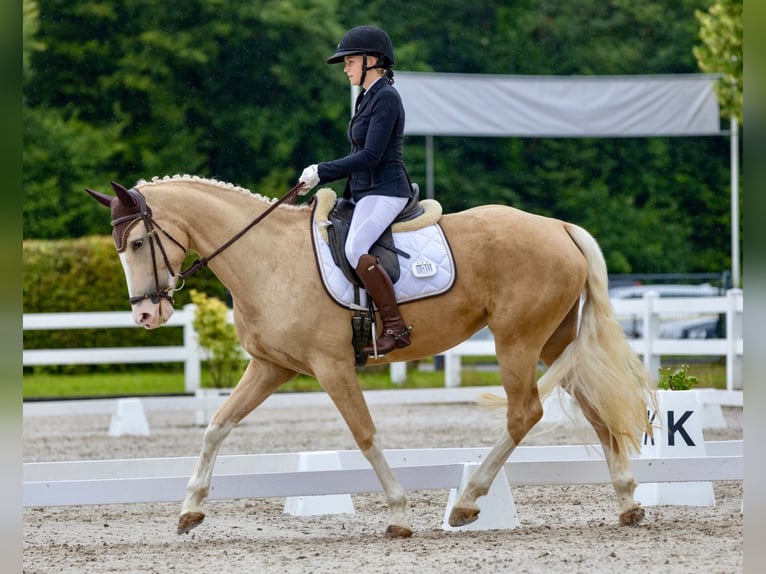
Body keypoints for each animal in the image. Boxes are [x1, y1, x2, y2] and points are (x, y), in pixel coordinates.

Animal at [88, 176, 656, 540]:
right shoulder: (272, 366)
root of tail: (558, 227)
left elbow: (364, 435)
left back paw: (467, 501)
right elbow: (216, 426)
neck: (266, 259)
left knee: (525, 414)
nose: (147, 314)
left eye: (136, 243)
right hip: (555, 340)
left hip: (515, 339)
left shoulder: (331, 366)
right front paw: (189, 511)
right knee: (595, 408)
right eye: (119, 247)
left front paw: (399, 515)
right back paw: (627, 502)